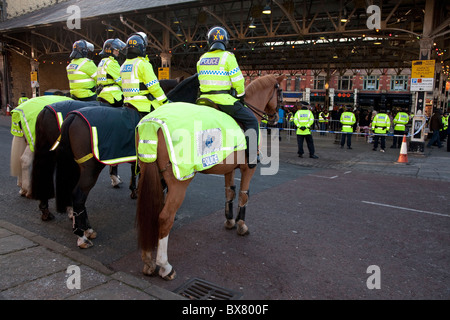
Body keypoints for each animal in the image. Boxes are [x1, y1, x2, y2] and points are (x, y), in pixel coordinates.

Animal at [134, 74, 284, 278]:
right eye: (280, 91)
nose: (276, 118)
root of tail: (153, 122)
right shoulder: (248, 169)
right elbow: (243, 195)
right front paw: (241, 225)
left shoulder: (229, 169)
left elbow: (230, 192)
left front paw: (229, 220)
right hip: (179, 182)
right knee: (165, 217)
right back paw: (165, 266)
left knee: (149, 212)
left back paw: (148, 260)